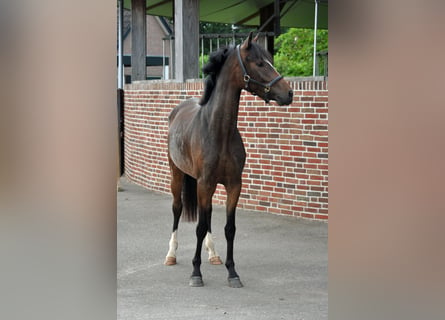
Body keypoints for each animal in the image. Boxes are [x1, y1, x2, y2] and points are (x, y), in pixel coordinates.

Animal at [163, 32, 292, 288]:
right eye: (259, 63)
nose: (288, 93)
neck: (218, 131)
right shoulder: (204, 183)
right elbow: (200, 226)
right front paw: (196, 273)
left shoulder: (233, 184)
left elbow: (229, 228)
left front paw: (233, 273)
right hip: (177, 174)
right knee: (177, 208)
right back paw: (171, 254)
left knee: (209, 214)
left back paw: (213, 254)